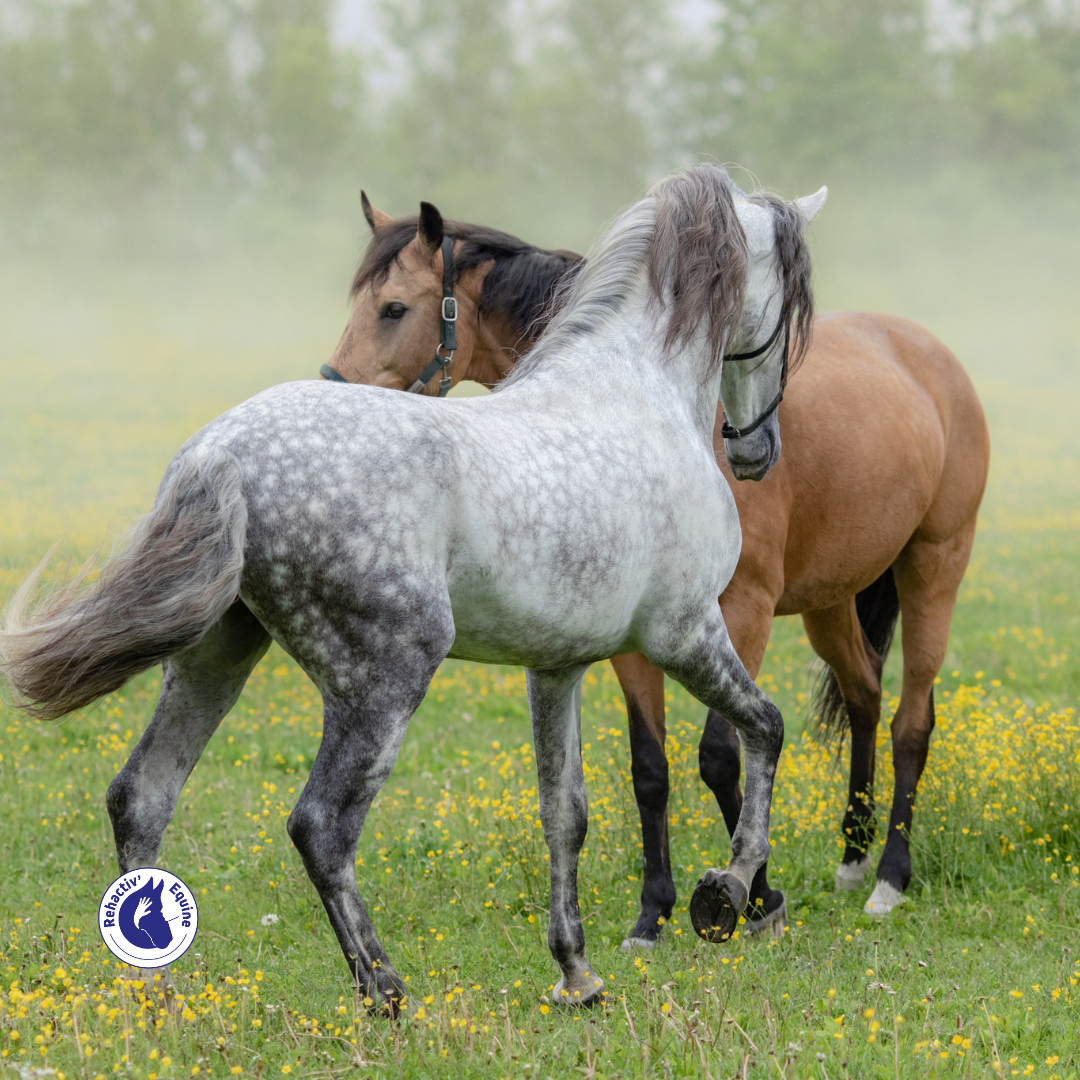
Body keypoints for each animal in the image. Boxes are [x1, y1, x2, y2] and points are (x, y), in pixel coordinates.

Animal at [0, 164, 826, 1013]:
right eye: (790, 302)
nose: (756, 447)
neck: (635, 391)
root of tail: (221, 455)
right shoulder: (684, 632)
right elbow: (764, 730)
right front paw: (729, 893)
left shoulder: (556, 666)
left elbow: (564, 813)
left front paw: (576, 974)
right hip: (385, 677)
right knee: (320, 825)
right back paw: (384, 990)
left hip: (216, 656)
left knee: (143, 795)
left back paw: (164, 993)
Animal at [322, 192, 989, 941]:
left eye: (393, 308)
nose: (331, 397)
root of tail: (926, 353)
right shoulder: (633, 636)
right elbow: (652, 768)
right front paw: (654, 911)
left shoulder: (742, 612)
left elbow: (724, 754)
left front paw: (754, 897)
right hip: (829, 601)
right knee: (865, 694)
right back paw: (852, 855)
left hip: (934, 567)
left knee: (911, 723)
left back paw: (890, 877)